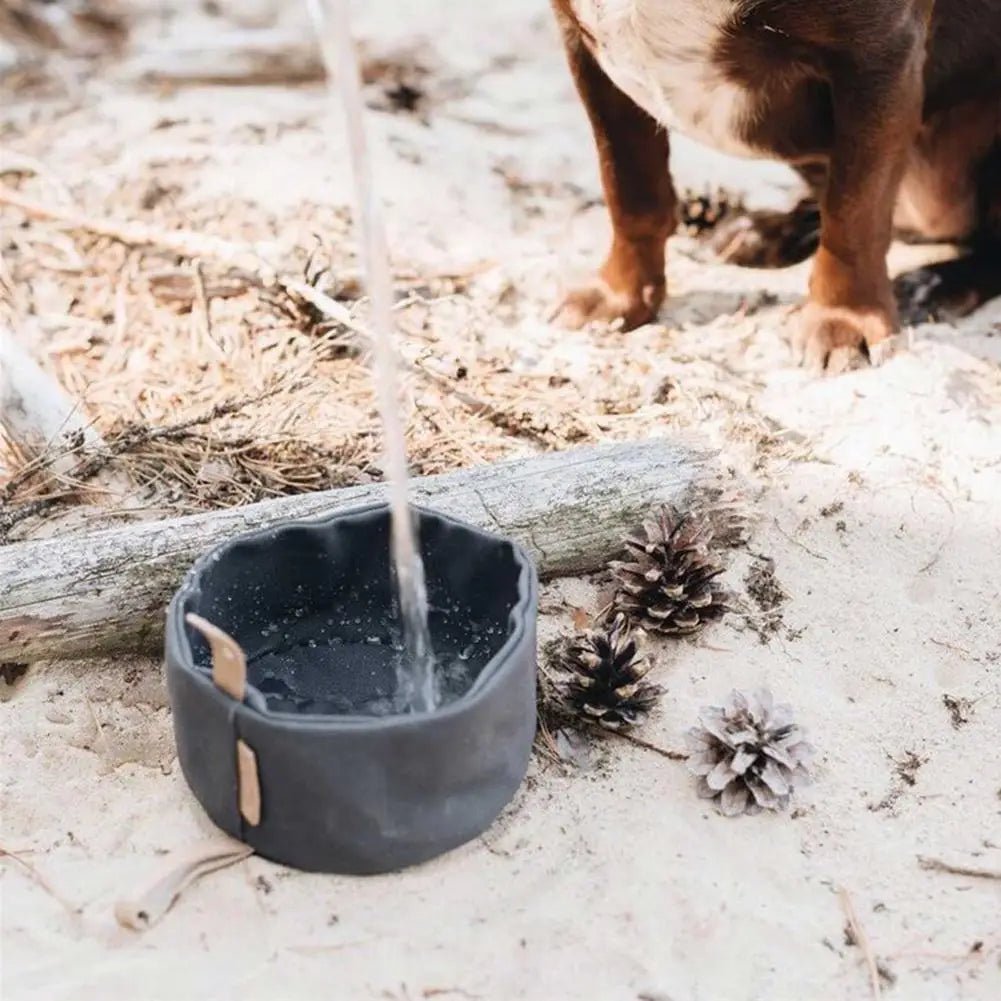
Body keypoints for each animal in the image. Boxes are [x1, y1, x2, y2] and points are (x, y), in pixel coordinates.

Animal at [552, 1, 1001, 370]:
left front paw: (842, 318)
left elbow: (854, 213)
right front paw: (620, 294)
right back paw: (762, 233)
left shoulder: (878, 60)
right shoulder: (588, 50)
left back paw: (936, 283)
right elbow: (629, 190)